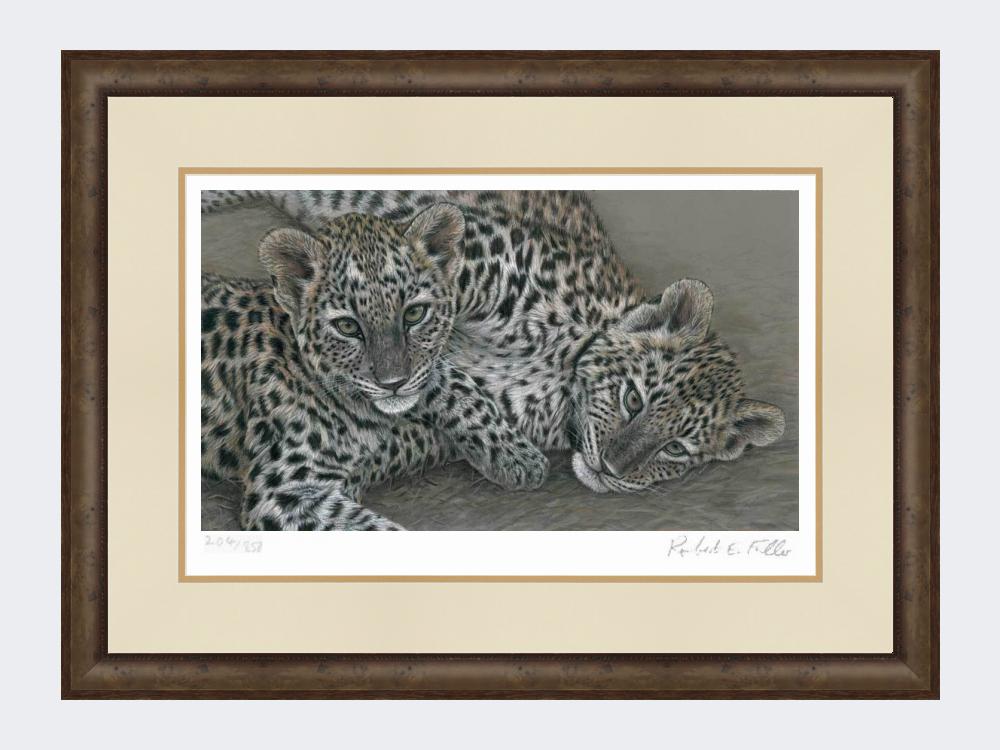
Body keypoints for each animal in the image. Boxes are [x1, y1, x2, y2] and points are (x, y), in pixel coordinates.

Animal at [200, 203, 548, 530]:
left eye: (414, 314)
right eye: (347, 326)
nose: (392, 383)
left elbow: (452, 381)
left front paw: (517, 455)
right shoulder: (283, 494)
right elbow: (373, 529)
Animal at [203, 189, 786, 496]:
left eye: (676, 449)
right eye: (633, 399)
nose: (610, 468)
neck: (562, 365)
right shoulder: (464, 264)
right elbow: (428, 353)